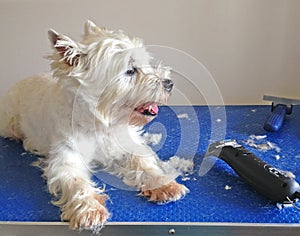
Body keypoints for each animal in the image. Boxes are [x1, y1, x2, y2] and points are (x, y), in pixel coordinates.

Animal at [0, 19, 189, 230]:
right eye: (130, 70)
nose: (169, 83)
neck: (103, 125)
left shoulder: (127, 146)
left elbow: (145, 165)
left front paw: (164, 184)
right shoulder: (66, 158)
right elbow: (76, 182)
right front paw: (89, 209)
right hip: (10, 122)